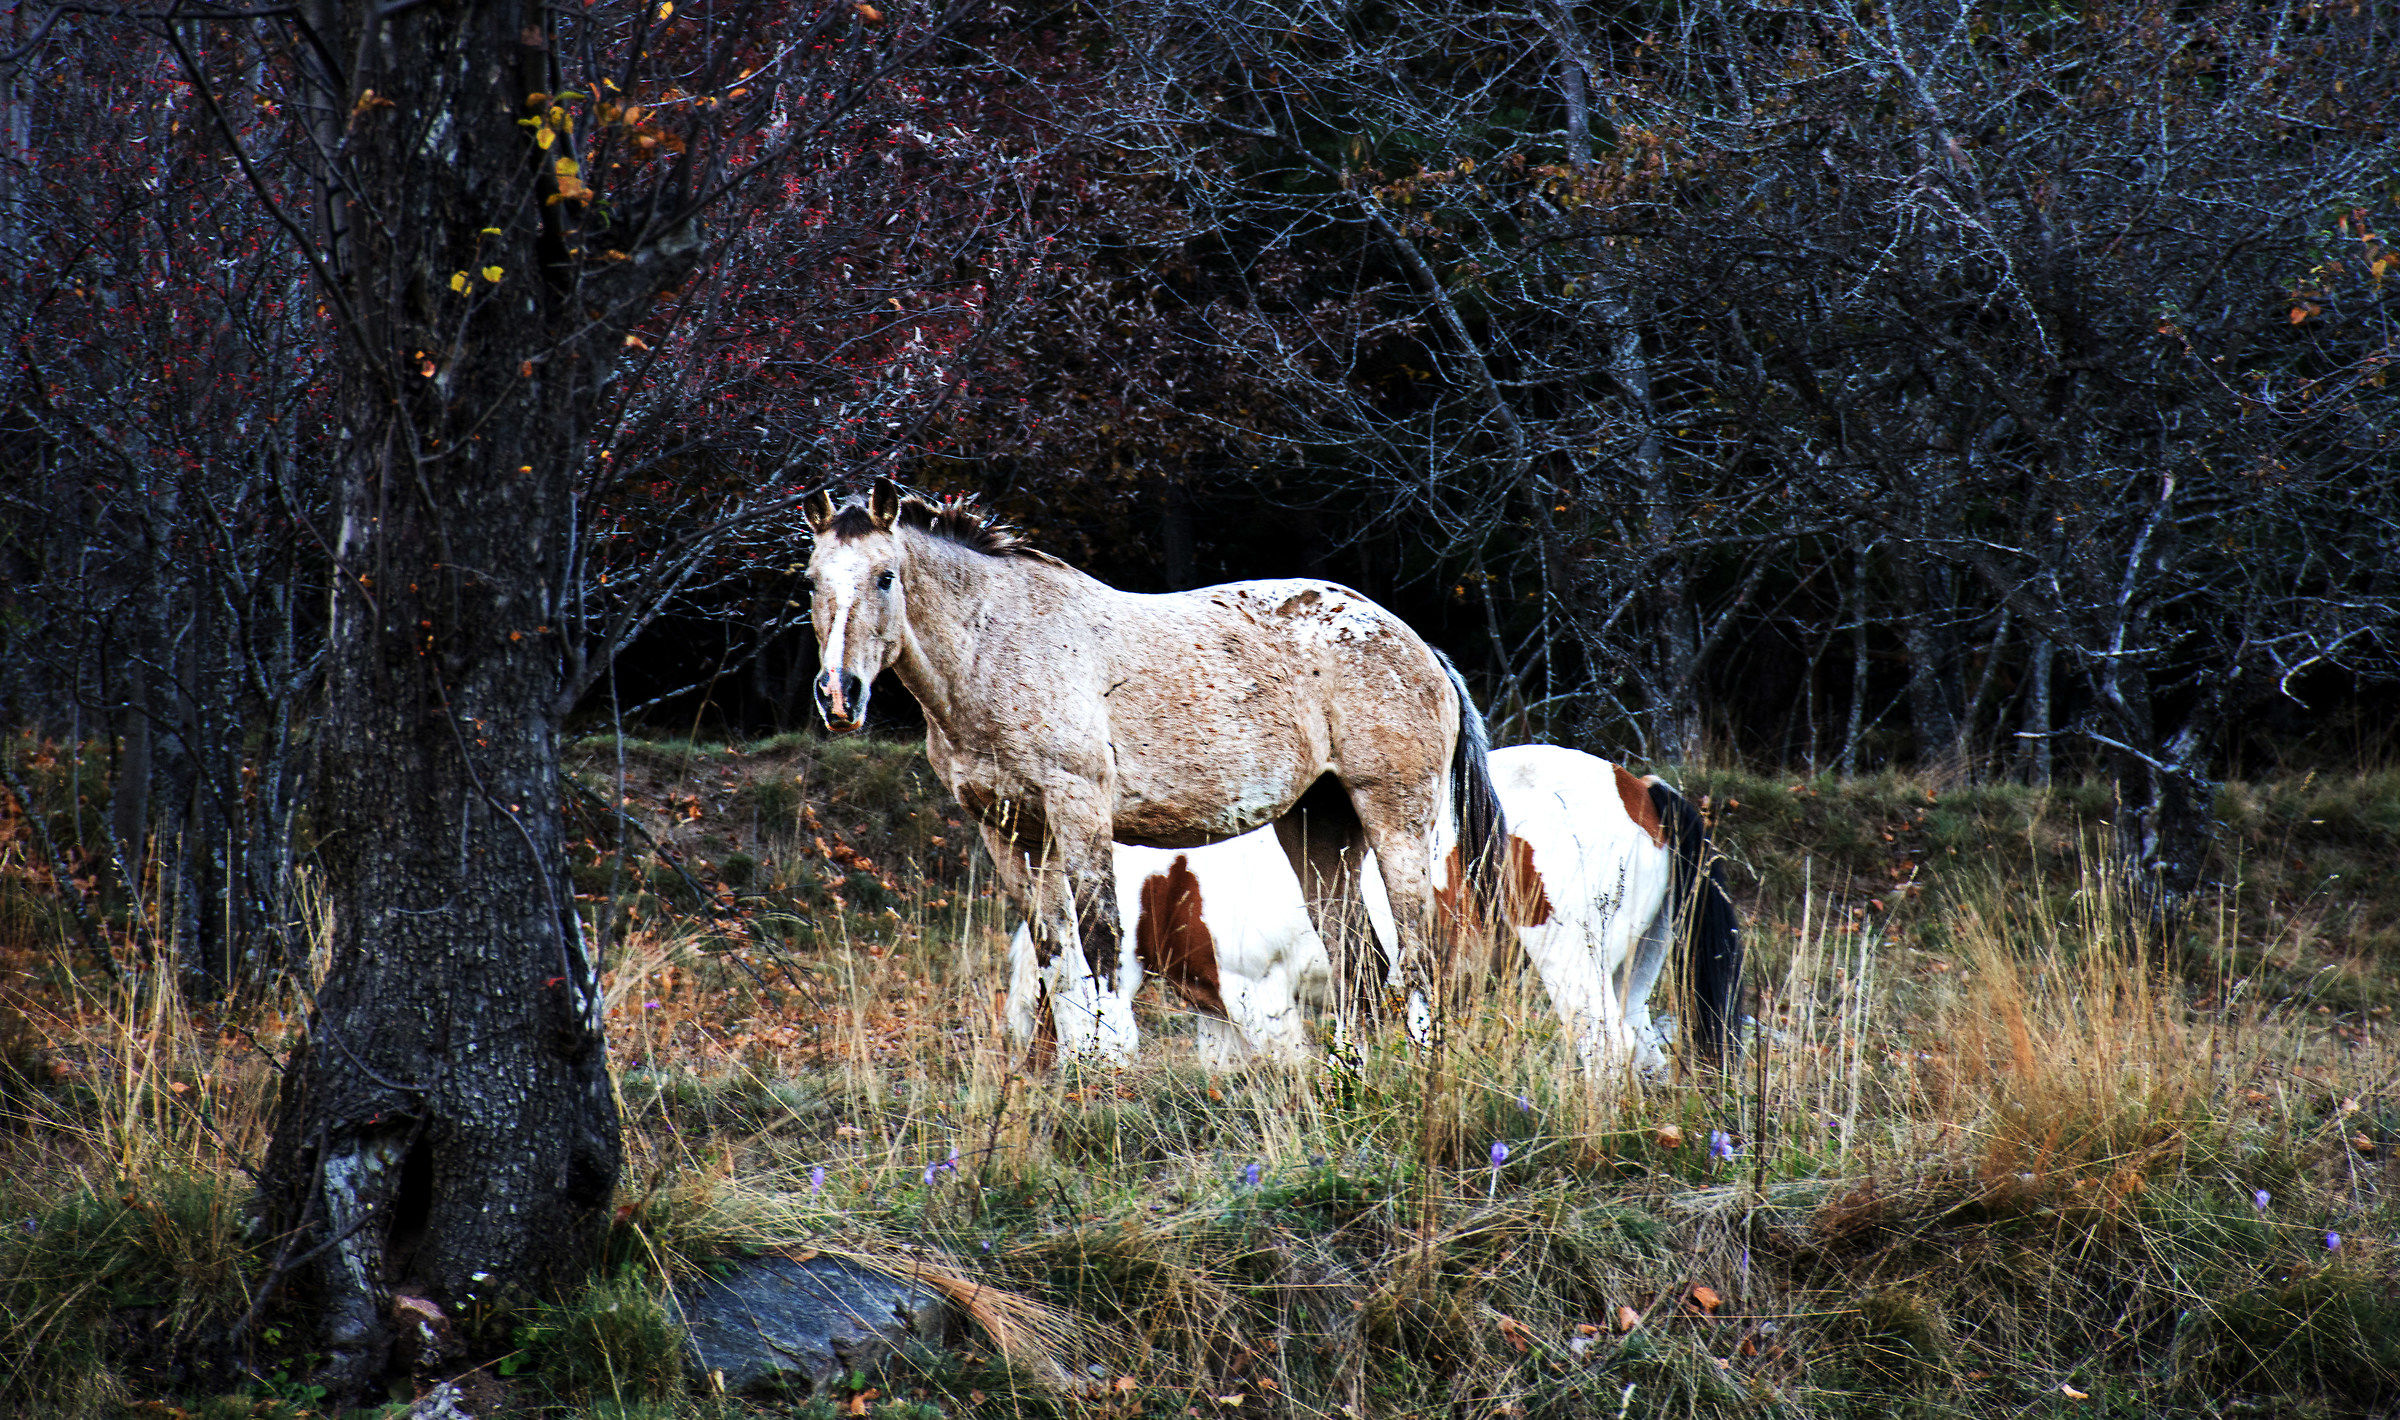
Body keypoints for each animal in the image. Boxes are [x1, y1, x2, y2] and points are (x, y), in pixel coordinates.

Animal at [803, 479, 1509, 1061]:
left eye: (886, 577)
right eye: (811, 581)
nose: (839, 695)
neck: (996, 647)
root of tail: (1421, 647)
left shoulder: (1078, 811)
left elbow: (1101, 938)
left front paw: (1110, 1063)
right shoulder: (1008, 830)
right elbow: (1054, 950)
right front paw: (1072, 1069)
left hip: (1394, 819)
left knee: (1415, 953)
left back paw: (1420, 1075)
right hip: (1319, 827)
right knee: (1356, 957)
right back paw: (1349, 1080)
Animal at [1004, 744, 1743, 1074]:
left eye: (1045, 994)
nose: (1040, 1073)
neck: (1176, 880)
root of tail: (1639, 789)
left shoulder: (1261, 999)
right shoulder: (1218, 1016)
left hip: (1567, 955)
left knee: (1605, 1047)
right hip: (1632, 968)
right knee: (1642, 1049)